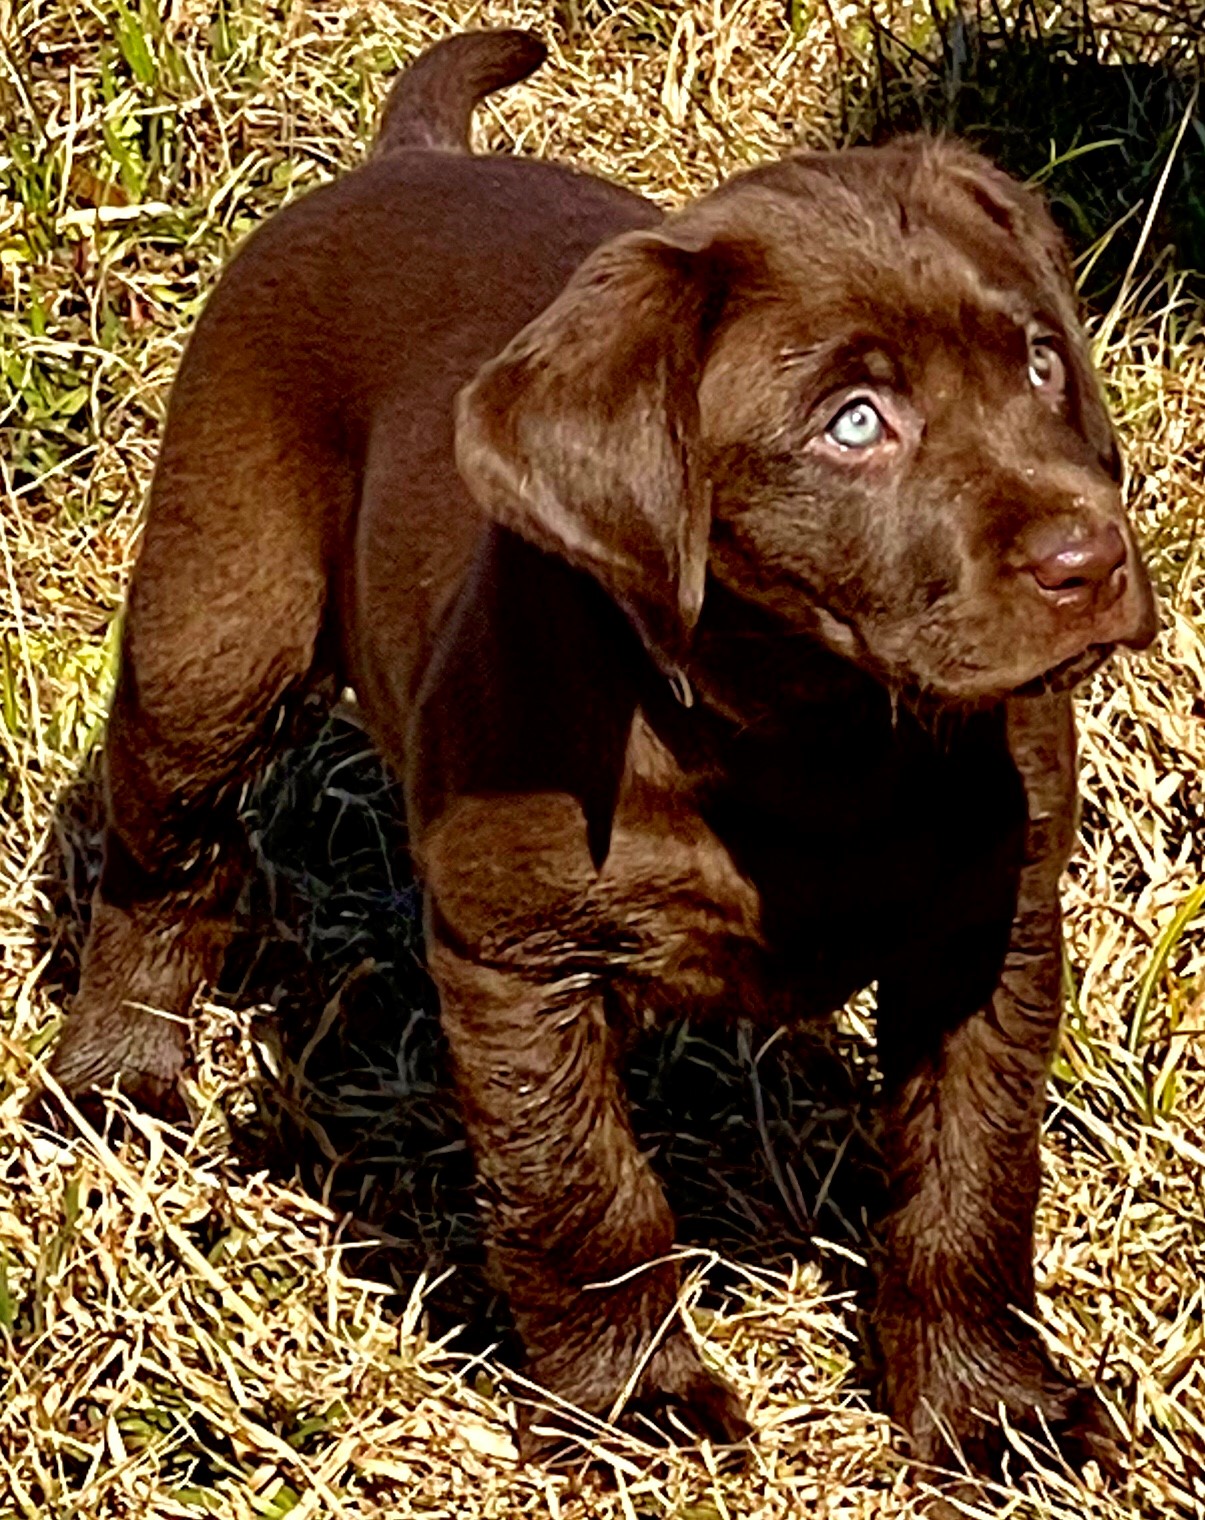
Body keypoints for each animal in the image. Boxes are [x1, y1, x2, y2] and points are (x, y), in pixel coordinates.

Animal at [49, 29, 1154, 1477]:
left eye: (1036, 360)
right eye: (854, 421)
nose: (1093, 561)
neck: (812, 732)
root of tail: (409, 159)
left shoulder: (989, 932)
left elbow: (970, 1180)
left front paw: (988, 1407)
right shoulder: (519, 961)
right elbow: (587, 1200)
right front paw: (636, 1404)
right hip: (214, 634)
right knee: (163, 854)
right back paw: (116, 1071)